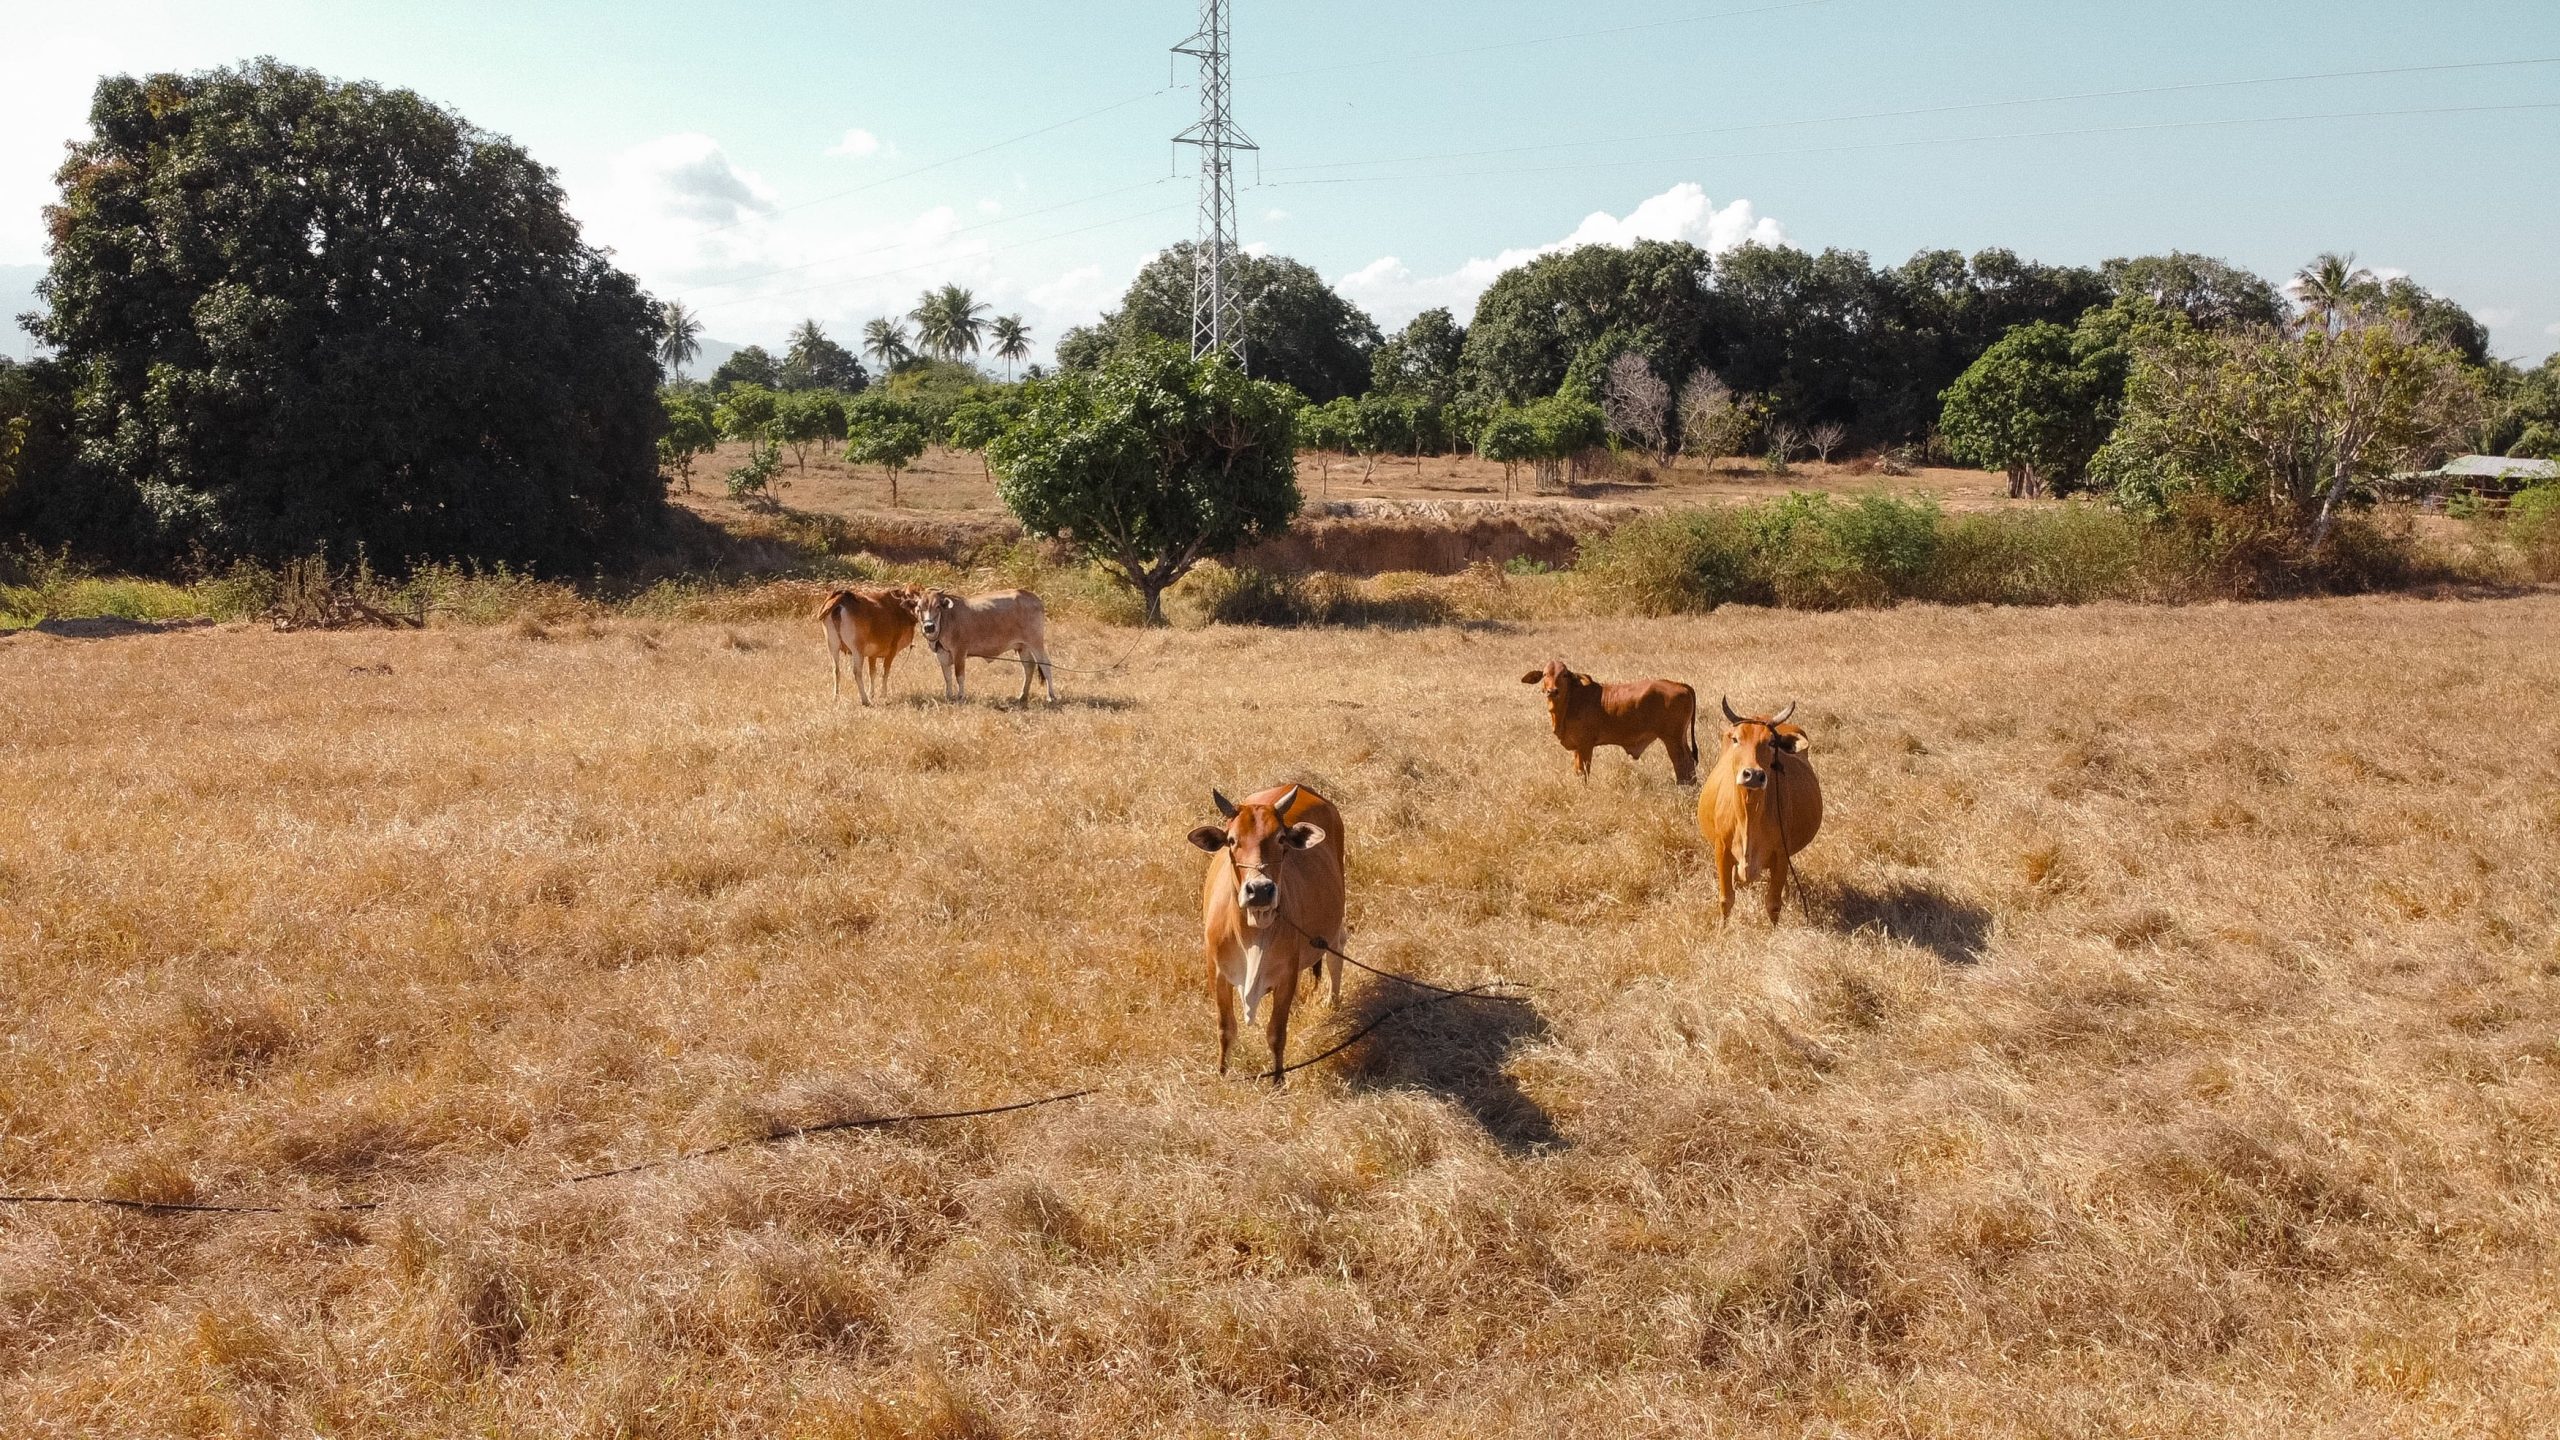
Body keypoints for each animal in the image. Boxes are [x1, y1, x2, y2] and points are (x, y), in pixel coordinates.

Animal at [1187, 784, 1351, 1076]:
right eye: (1231, 840)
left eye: (1281, 838)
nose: (1261, 889)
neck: (1253, 931)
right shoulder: (1217, 973)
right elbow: (1225, 1029)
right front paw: (1222, 1073)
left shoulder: (1286, 976)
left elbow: (1276, 1033)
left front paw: (1278, 1079)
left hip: (1334, 922)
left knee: (1336, 952)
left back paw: (1332, 1001)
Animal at [1515, 655, 1699, 778]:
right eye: (1545, 674)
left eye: (1565, 674)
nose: (1552, 691)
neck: (1570, 702)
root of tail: (1678, 684)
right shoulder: (1577, 748)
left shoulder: (1585, 745)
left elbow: (1584, 772)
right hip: (1680, 738)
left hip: (1672, 739)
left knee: (1682, 764)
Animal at [1699, 696, 1822, 917]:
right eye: (1736, 739)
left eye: (1771, 742)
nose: (1753, 775)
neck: (1748, 813)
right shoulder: (1721, 851)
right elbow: (1726, 900)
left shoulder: (1781, 855)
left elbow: (1773, 904)